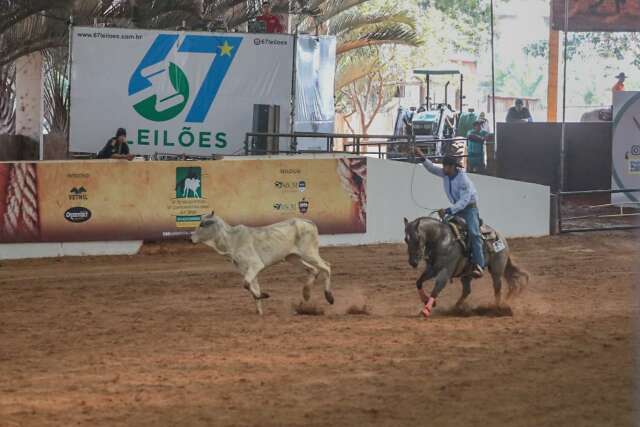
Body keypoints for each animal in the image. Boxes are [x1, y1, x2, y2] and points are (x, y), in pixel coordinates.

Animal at [190, 213, 332, 316]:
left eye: (202, 224)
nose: (190, 237)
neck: (232, 239)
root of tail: (308, 222)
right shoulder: (246, 269)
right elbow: (253, 287)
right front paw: (260, 310)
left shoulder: (255, 265)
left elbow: (246, 284)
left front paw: (264, 296)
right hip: (292, 258)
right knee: (313, 270)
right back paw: (306, 294)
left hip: (309, 253)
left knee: (326, 266)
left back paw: (329, 297)